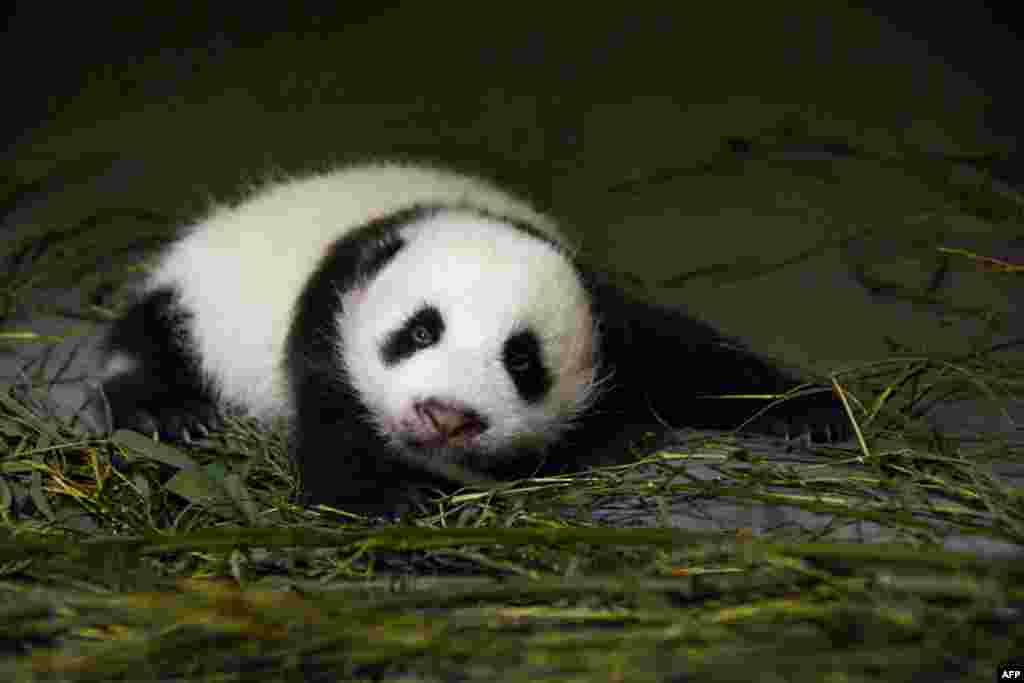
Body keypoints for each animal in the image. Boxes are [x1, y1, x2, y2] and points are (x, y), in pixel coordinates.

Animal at [101, 161, 847, 511]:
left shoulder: (614, 323)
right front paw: (390, 498)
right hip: (198, 299)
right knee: (151, 341)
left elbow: (693, 361)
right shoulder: (327, 320)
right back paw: (170, 412)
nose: (444, 415)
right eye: (418, 330)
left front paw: (810, 414)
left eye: (524, 361)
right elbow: (334, 427)